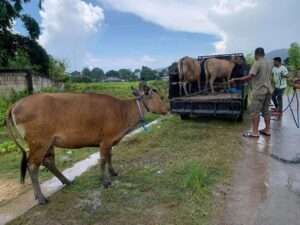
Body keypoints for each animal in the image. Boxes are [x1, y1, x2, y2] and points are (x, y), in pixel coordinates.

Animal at [6, 85, 169, 205]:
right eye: (161, 97)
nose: (168, 109)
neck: (123, 111)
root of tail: (16, 103)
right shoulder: (106, 140)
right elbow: (103, 159)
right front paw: (105, 181)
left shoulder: (110, 141)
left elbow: (110, 155)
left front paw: (113, 172)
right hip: (39, 142)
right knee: (32, 166)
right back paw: (41, 197)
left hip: (48, 142)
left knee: (48, 161)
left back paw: (66, 181)